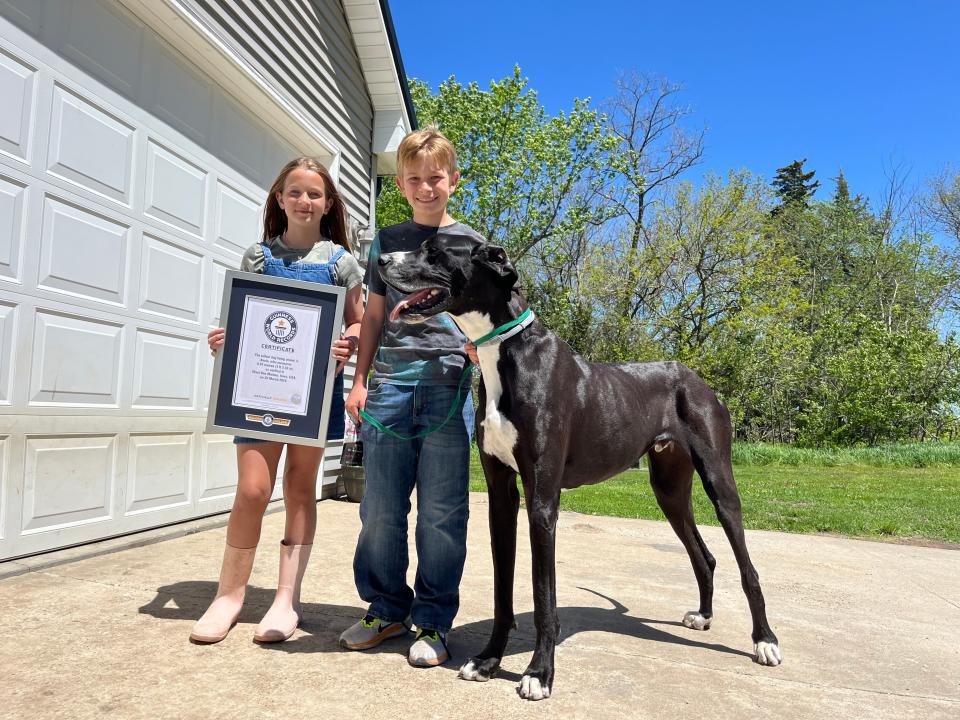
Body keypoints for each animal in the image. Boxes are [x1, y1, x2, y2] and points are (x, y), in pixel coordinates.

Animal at [376, 235, 780, 696]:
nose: (381, 260)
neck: (508, 352)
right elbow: (502, 590)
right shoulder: (501, 496)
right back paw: (705, 615)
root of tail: (698, 380)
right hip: (669, 489)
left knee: (747, 567)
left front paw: (538, 673)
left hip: (719, 482)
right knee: (704, 555)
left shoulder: (542, 502)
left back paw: (765, 640)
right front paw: (489, 660)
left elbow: (543, 596)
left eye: (435, 250)